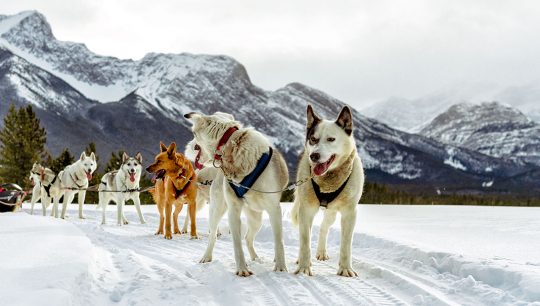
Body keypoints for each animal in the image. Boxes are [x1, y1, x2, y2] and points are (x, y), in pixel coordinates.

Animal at [184, 111, 288, 276]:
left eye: (194, 134)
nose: (190, 145)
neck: (232, 146)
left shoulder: (274, 209)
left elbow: (279, 241)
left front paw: (280, 267)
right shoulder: (233, 209)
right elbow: (237, 244)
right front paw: (242, 269)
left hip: (256, 219)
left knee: (248, 238)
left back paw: (255, 258)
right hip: (217, 210)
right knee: (214, 235)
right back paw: (206, 257)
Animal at [292, 104, 362, 278]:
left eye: (331, 139)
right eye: (313, 139)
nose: (314, 155)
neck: (328, 180)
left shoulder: (349, 213)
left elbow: (346, 245)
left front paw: (345, 268)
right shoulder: (306, 210)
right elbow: (305, 241)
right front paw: (304, 268)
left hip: (332, 213)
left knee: (324, 227)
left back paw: (321, 252)